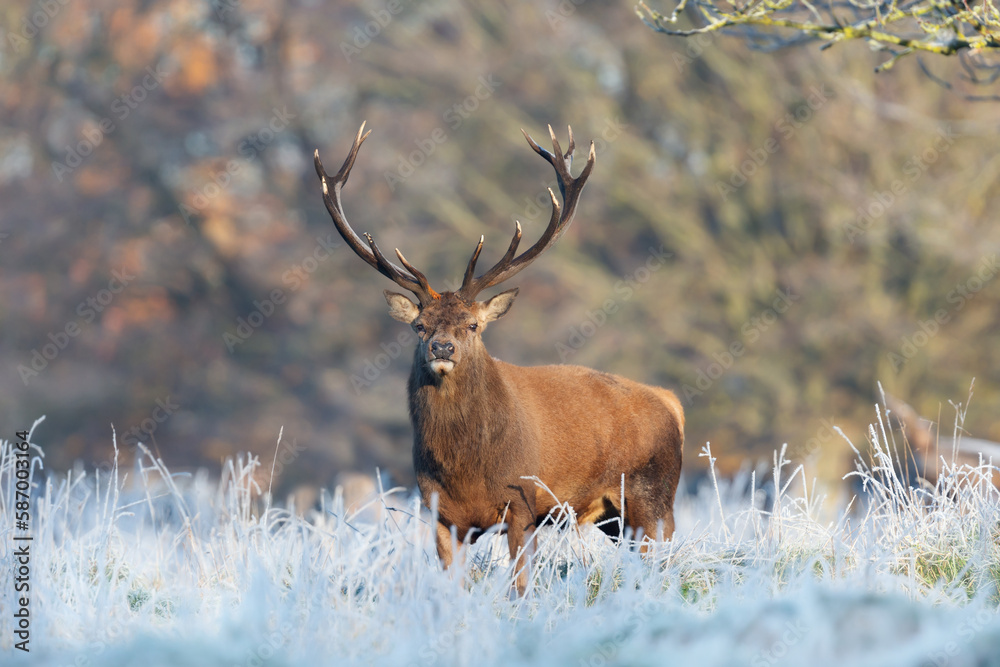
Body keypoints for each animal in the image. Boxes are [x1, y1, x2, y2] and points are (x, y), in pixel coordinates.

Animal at [314, 123, 684, 594]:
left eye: (473, 325)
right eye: (420, 326)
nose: (442, 348)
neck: (464, 469)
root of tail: (671, 402)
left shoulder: (523, 503)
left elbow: (521, 587)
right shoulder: (439, 513)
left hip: (652, 497)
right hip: (615, 518)